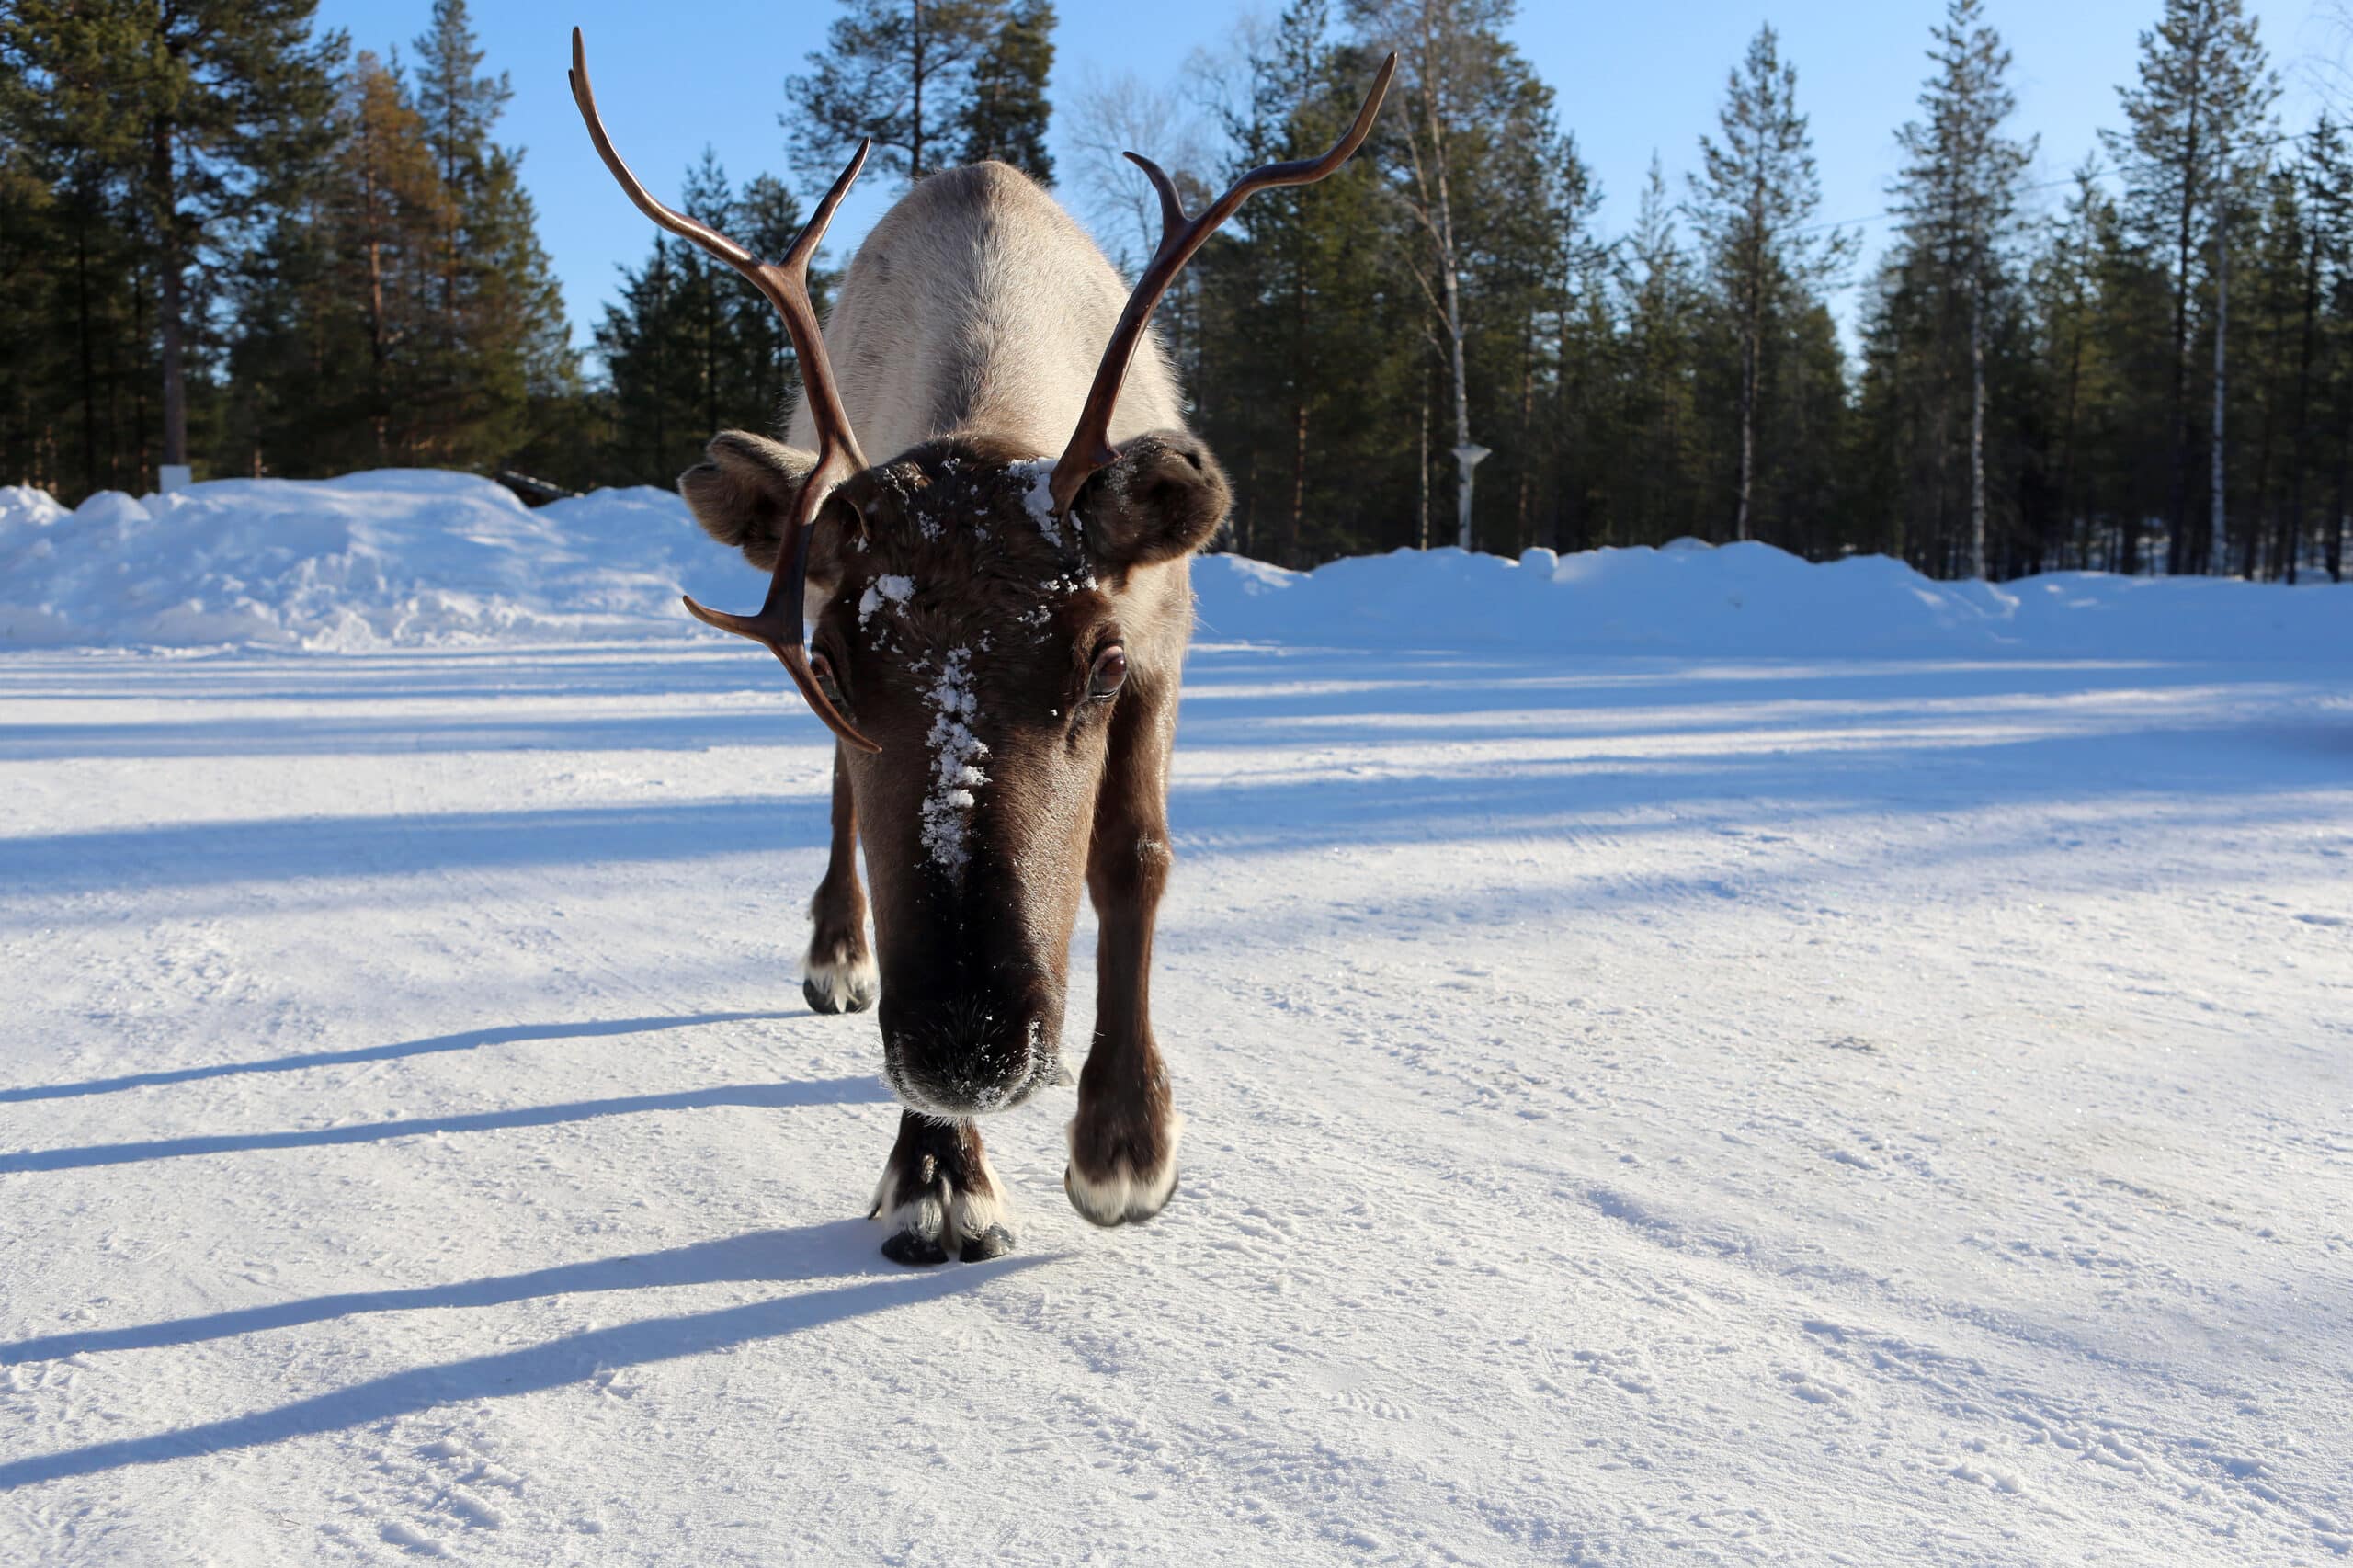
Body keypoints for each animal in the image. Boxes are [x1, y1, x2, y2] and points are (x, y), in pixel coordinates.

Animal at [569, 30, 1391, 1264]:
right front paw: (937, 1173)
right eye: (827, 663)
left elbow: (1133, 858)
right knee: (839, 808)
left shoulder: (1162, 640)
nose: (967, 1042)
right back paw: (839, 956)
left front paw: (1124, 1144)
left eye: (1098, 663)